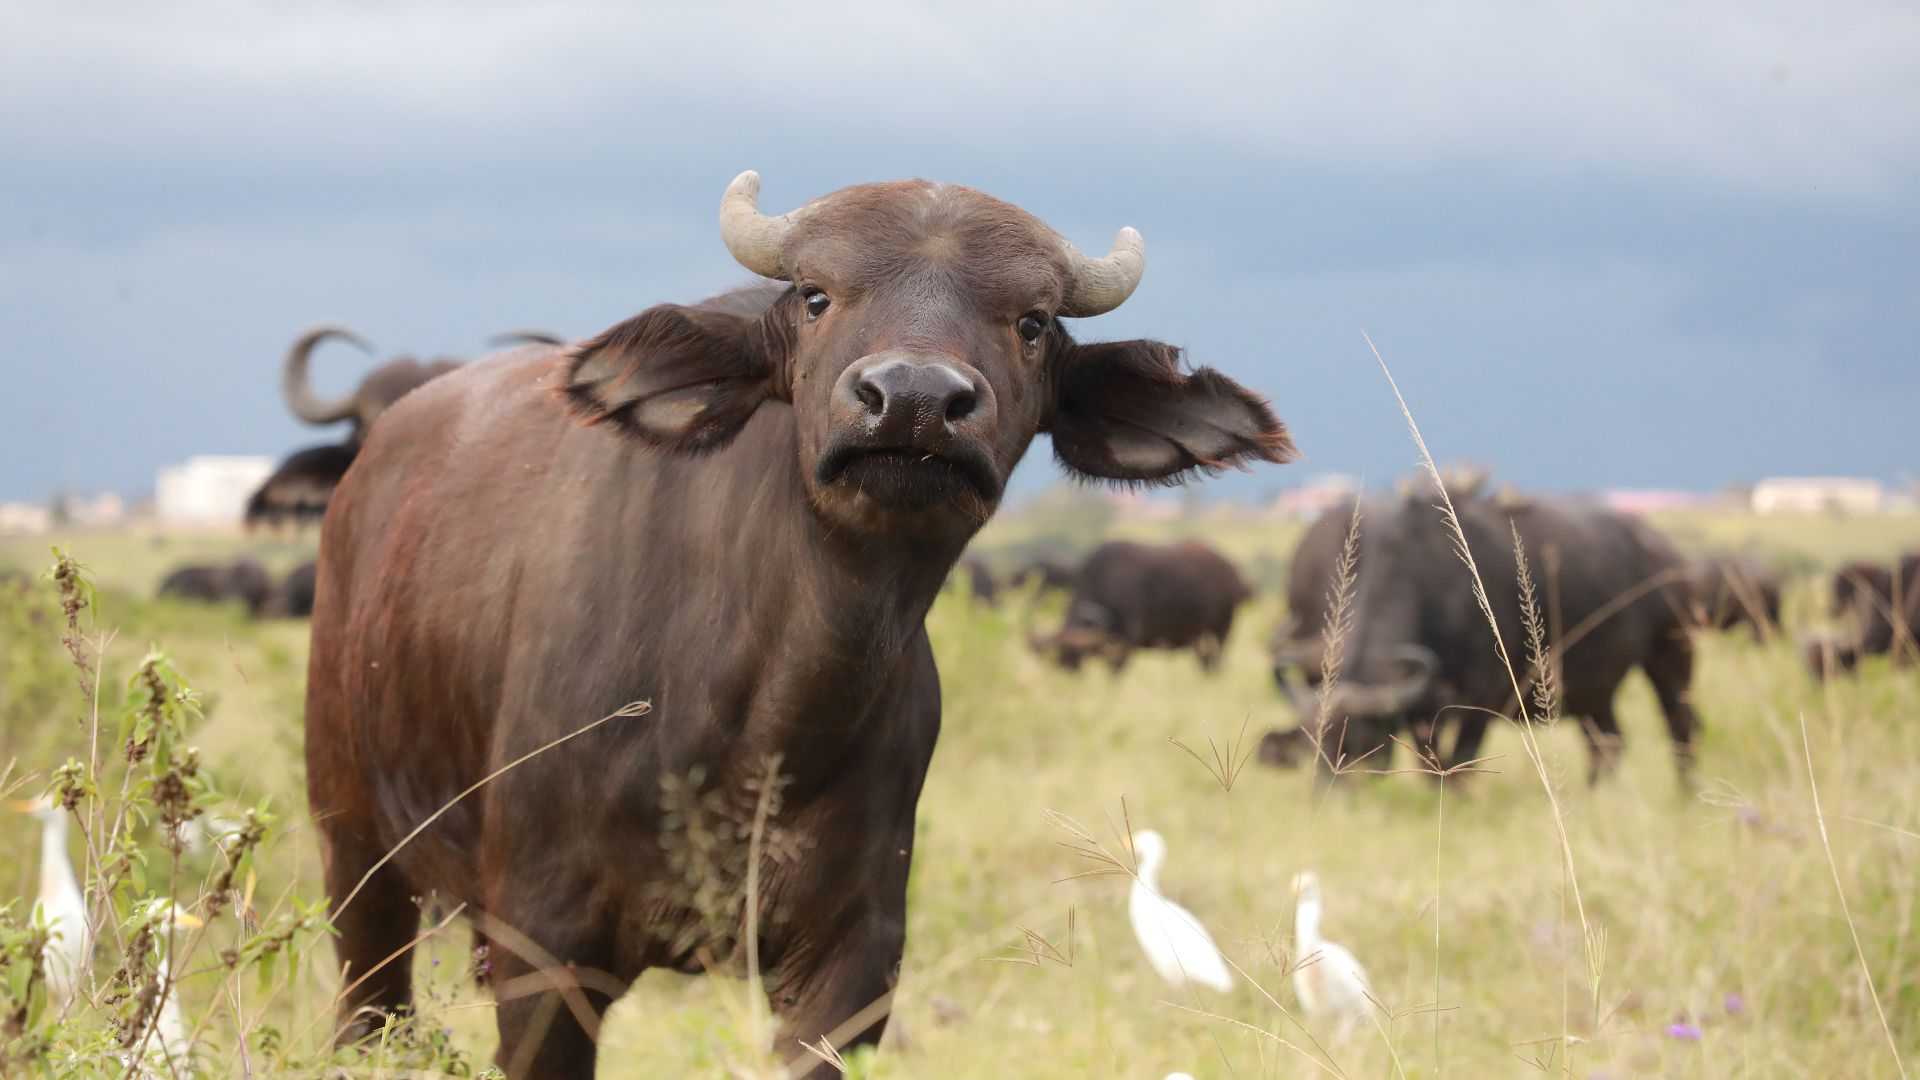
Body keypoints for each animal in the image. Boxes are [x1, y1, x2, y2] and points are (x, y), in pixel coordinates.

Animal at [1029, 540, 1252, 673]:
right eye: (1052, 661)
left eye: (1073, 655)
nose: (1065, 680)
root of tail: (1232, 570)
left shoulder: (1126, 644)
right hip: (1200, 636)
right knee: (1205, 660)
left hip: (1223, 628)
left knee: (1218, 657)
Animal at [1272, 485, 1699, 786]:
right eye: (1311, 743)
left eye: (1359, 741)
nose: (1325, 791)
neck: (1432, 586)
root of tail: (1669, 554)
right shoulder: (1423, 711)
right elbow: (1431, 766)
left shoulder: (1483, 696)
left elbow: (1460, 763)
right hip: (1594, 692)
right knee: (1608, 742)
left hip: (1672, 656)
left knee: (1681, 727)